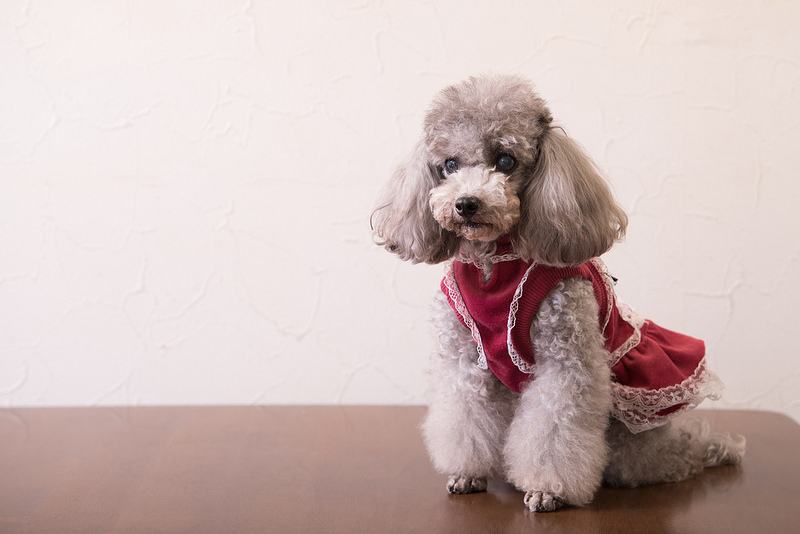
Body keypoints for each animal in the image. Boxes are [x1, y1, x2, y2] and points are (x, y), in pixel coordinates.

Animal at [372, 75, 748, 516]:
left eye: (505, 161)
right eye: (449, 165)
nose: (466, 204)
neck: (495, 264)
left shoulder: (567, 361)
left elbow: (554, 430)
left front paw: (548, 490)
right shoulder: (465, 360)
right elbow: (465, 417)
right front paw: (468, 473)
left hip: (633, 435)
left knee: (672, 456)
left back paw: (707, 451)